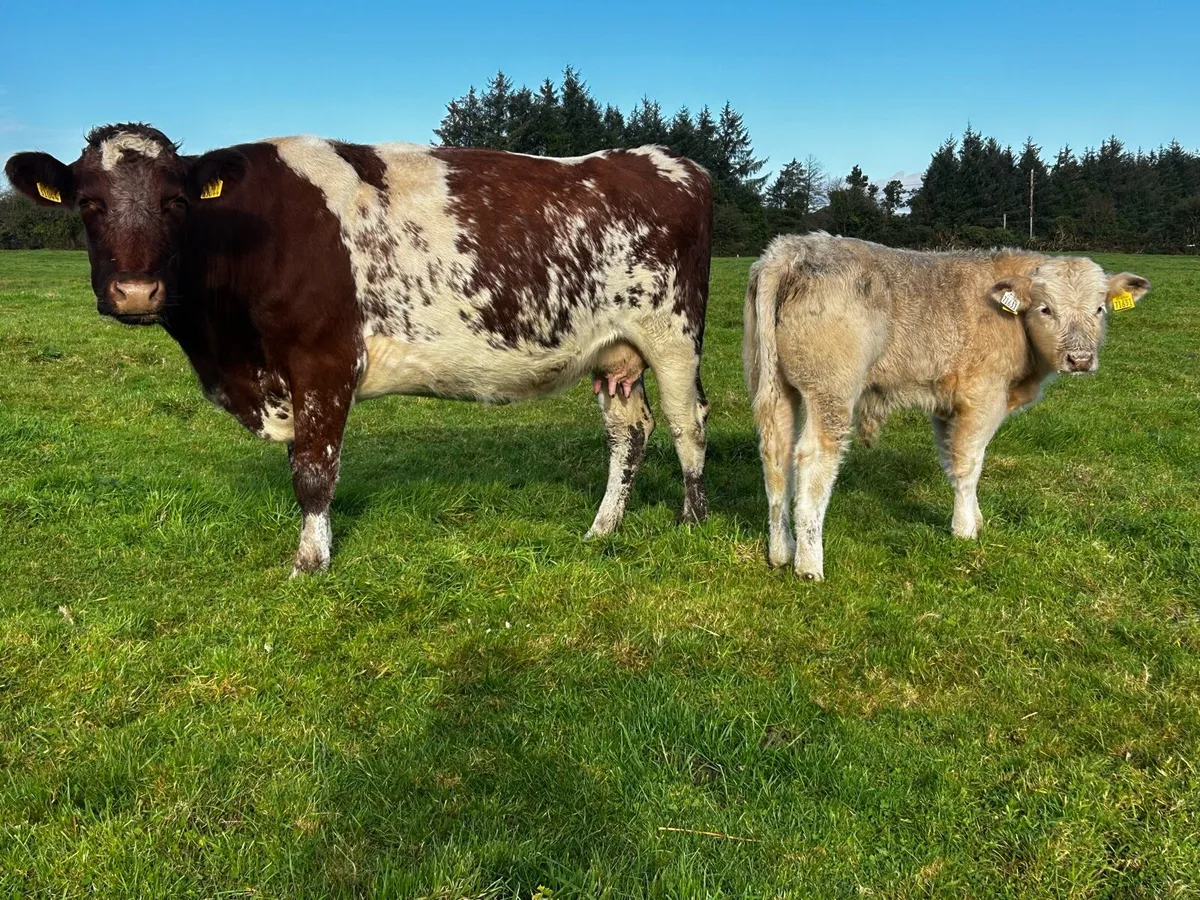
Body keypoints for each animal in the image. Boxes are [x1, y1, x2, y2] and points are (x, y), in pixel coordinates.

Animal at [5, 124, 713, 574]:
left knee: (689, 424)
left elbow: (313, 471)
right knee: (629, 430)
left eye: (176, 201)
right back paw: (602, 529)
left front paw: (309, 562)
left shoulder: (323, 360)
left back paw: (693, 524)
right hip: (615, 351)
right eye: (89, 204)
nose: (134, 292)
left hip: (674, 334)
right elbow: (303, 462)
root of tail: (665, 160)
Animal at [743, 232, 1149, 581]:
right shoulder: (983, 397)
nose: (1080, 359)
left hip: (773, 384)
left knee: (776, 454)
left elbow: (951, 461)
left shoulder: (943, 402)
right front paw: (965, 529)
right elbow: (969, 464)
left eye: (1099, 309)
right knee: (814, 460)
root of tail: (793, 249)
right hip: (831, 391)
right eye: (1046, 309)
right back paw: (809, 564)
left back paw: (781, 551)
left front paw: (973, 517)